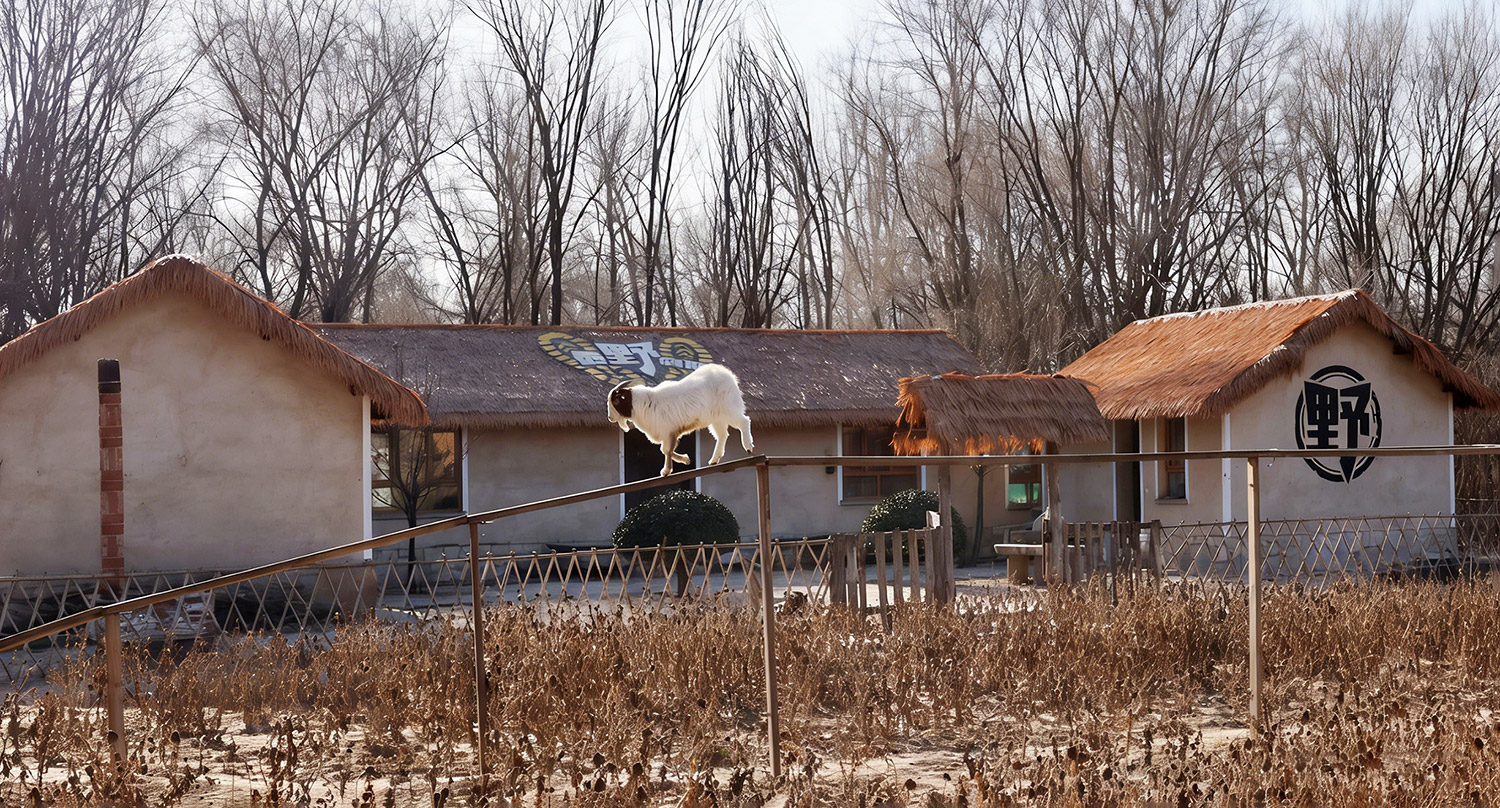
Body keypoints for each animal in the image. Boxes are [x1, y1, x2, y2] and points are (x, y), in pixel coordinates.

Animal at [606, 364, 755, 477]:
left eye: (615, 401)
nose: (609, 418)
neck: (643, 404)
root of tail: (729, 375)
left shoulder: (668, 431)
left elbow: (666, 450)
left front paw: (666, 471)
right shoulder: (670, 433)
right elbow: (666, 450)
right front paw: (686, 459)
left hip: (728, 408)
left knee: (744, 421)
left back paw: (748, 447)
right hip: (716, 417)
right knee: (722, 435)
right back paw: (714, 460)